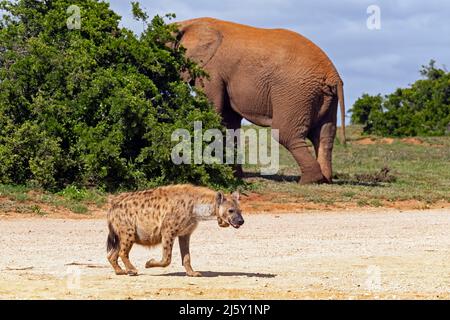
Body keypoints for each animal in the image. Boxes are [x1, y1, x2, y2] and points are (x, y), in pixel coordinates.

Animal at [175, 17, 344, 185]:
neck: (187, 23)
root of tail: (332, 75)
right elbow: (229, 121)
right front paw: (234, 176)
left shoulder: (211, 70)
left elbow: (213, 110)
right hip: (324, 96)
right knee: (324, 136)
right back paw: (324, 180)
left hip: (296, 92)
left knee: (285, 133)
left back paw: (308, 181)